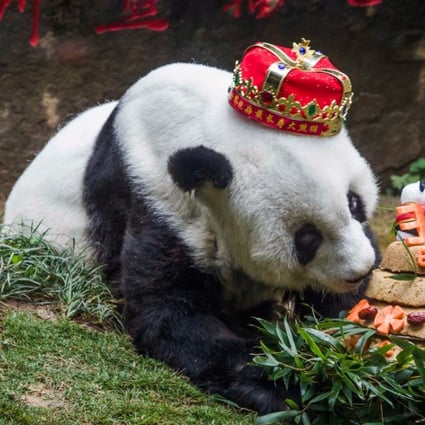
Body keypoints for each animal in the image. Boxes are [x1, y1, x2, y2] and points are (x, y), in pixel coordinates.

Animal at [4, 58, 378, 412]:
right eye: (307, 238)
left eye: (354, 202)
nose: (359, 270)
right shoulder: (157, 198)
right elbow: (170, 311)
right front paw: (292, 380)